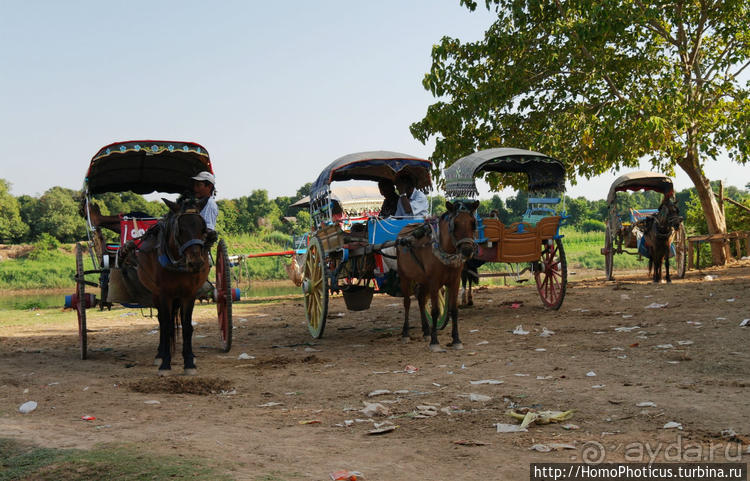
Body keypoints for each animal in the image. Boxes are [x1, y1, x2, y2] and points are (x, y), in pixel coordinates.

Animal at [134, 196, 212, 376]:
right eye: (180, 229)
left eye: (203, 228)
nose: (196, 262)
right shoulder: (165, 295)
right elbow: (167, 326)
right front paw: (165, 363)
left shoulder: (189, 294)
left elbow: (187, 326)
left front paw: (189, 361)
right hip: (156, 294)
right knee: (163, 321)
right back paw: (160, 354)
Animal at [396, 199, 478, 352]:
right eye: (455, 224)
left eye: (473, 223)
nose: (467, 250)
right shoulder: (434, 282)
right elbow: (435, 311)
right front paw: (434, 342)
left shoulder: (455, 281)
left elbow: (454, 310)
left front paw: (456, 339)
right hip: (405, 277)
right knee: (407, 303)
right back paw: (406, 333)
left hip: (423, 280)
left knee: (421, 300)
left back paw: (426, 331)